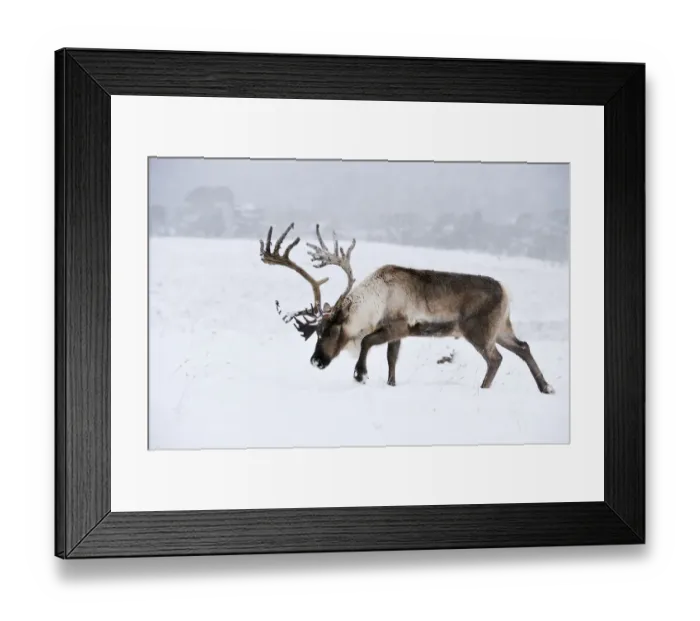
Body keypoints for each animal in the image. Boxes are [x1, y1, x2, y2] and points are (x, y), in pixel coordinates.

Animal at [260, 223, 554, 394]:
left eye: (332, 330)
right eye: (317, 331)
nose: (316, 360)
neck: (376, 300)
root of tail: (505, 290)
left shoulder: (398, 326)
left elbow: (366, 341)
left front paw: (360, 374)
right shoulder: (398, 334)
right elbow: (392, 359)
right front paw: (390, 384)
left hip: (479, 332)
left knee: (496, 359)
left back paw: (485, 389)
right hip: (501, 328)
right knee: (523, 347)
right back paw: (546, 387)